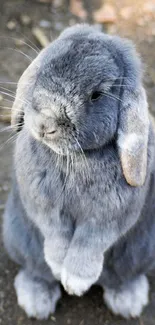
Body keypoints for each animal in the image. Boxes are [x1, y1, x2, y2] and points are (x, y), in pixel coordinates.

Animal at [2, 24, 155, 318]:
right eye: (42, 70)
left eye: (96, 95)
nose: (45, 125)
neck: (74, 158)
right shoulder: (44, 207)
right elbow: (56, 233)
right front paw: (58, 266)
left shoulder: (108, 217)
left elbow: (89, 242)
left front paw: (75, 282)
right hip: (18, 237)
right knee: (36, 271)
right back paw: (36, 301)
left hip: (141, 252)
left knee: (121, 278)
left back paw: (128, 302)